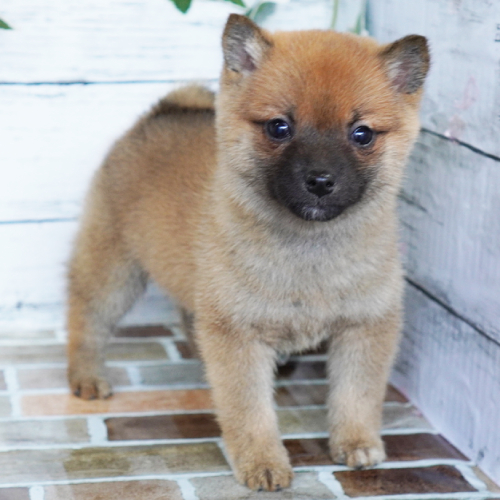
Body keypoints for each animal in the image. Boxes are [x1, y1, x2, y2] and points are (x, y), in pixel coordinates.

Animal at [66, 15, 430, 492]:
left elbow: (358, 395)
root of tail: (162, 111)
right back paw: (86, 375)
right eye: (279, 127)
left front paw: (357, 442)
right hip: (114, 269)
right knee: (87, 316)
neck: (309, 247)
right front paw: (263, 463)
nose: (320, 180)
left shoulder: (366, 325)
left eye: (362, 134)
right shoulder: (238, 335)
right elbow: (249, 410)